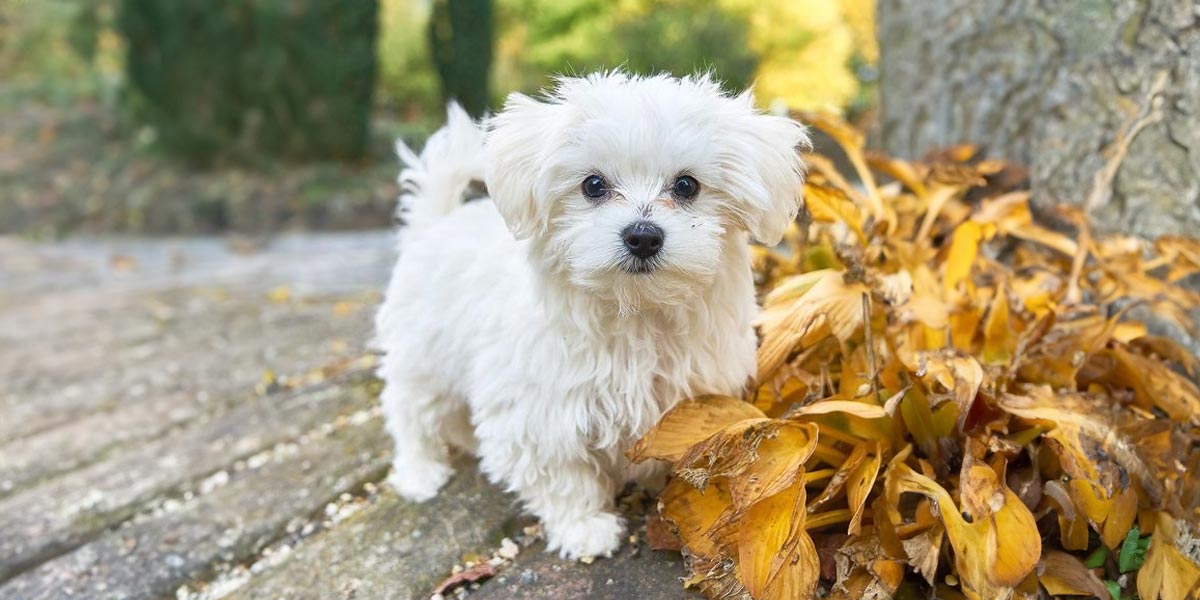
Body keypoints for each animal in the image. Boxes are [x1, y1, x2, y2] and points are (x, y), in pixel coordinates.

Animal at [374, 73, 806, 556]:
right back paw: (420, 472)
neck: (635, 313)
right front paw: (584, 528)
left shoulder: (690, 398)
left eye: (687, 186)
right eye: (593, 185)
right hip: (422, 357)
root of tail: (434, 224)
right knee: (409, 411)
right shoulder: (539, 413)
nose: (643, 236)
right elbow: (562, 474)